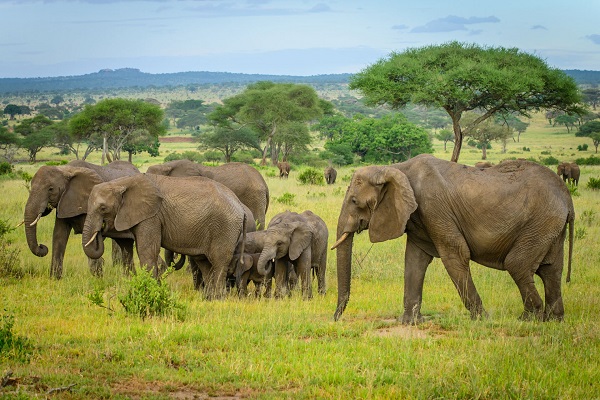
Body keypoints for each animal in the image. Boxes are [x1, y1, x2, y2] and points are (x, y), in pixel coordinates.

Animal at [81, 173, 246, 298]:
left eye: (103, 208)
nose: (101, 229)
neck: (122, 182)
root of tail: (240, 205)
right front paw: (157, 289)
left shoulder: (151, 216)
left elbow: (147, 252)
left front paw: (151, 291)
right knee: (204, 263)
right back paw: (208, 299)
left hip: (225, 227)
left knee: (219, 261)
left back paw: (218, 298)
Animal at [332, 155, 576, 324]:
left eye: (354, 201)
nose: (335, 318)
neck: (395, 168)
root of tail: (567, 197)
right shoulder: (418, 217)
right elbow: (415, 261)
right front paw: (410, 322)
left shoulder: (434, 208)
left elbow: (455, 255)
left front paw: (481, 319)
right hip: (549, 226)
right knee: (551, 269)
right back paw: (553, 320)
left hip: (540, 221)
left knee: (518, 264)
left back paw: (528, 319)